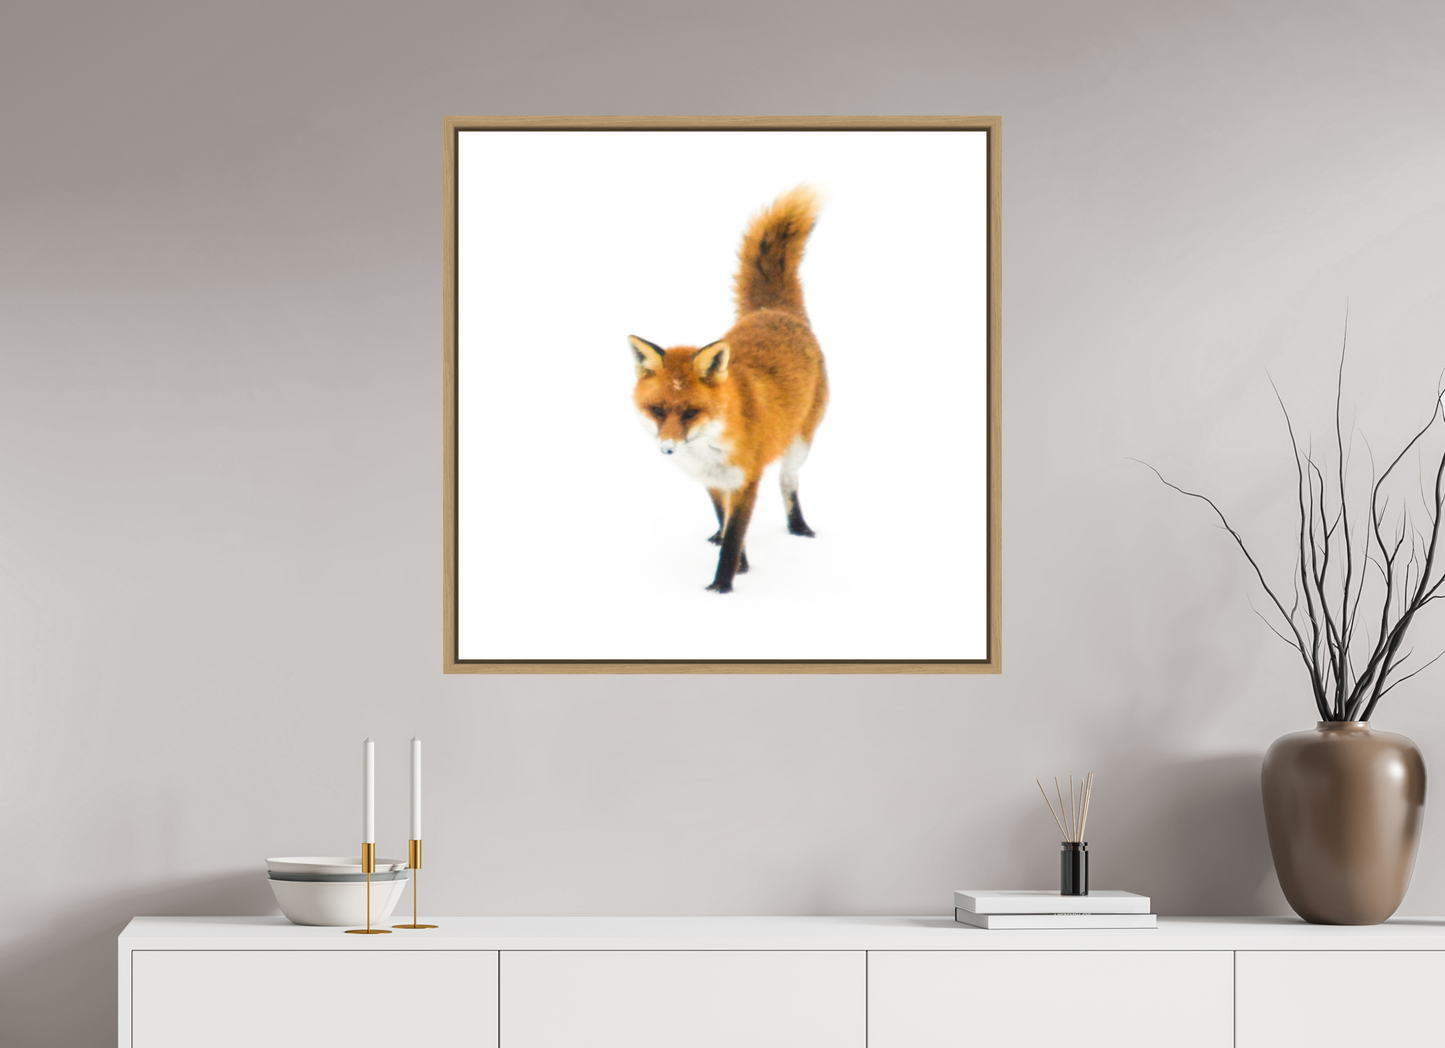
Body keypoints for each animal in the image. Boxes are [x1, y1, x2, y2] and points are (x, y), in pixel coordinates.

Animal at [630, 185, 829, 594]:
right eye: (658, 410)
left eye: (691, 412)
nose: (667, 448)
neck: (709, 445)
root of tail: (773, 310)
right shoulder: (712, 482)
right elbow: (727, 524)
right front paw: (741, 566)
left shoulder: (745, 480)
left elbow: (736, 534)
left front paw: (722, 588)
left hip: (799, 444)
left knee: (788, 481)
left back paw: (799, 527)